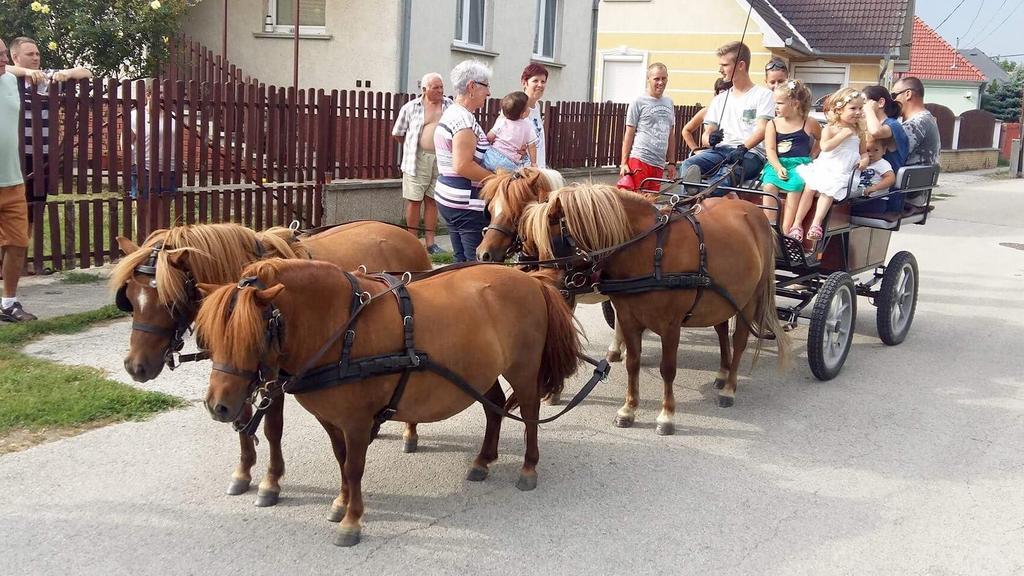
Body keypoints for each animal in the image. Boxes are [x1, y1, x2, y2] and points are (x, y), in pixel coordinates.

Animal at [110, 218, 430, 502]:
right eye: (130, 297)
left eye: (170, 301)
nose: (135, 366)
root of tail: (405, 234)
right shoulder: (235, 371)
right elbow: (241, 418)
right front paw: (243, 471)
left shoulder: (274, 375)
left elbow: (272, 427)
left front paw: (271, 481)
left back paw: (410, 431)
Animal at [195, 258, 581, 545]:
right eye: (211, 336)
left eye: (252, 336)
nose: (218, 406)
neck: (342, 329)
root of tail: (531, 279)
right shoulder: (332, 419)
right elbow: (341, 460)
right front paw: (341, 501)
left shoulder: (357, 421)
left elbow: (354, 466)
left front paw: (352, 521)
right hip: (479, 372)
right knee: (494, 407)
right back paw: (483, 460)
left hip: (523, 369)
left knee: (529, 412)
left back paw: (528, 467)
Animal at [520, 182, 790, 430]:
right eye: (532, 243)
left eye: (556, 241)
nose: (548, 285)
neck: (650, 251)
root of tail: (756, 213)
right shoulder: (628, 318)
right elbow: (633, 364)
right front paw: (628, 410)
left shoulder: (670, 326)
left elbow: (667, 368)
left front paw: (667, 415)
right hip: (720, 299)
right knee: (722, 331)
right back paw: (722, 374)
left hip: (749, 301)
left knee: (740, 342)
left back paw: (729, 388)